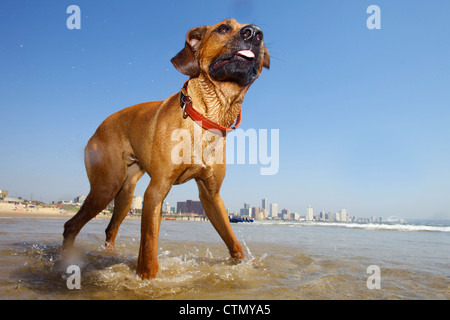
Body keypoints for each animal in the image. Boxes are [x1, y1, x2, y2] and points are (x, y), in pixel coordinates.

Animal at [62, 19, 268, 280]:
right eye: (223, 28)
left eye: (260, 34)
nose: (255, 33)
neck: (205, 117)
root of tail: (98, 128)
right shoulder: (156, 191)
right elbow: (149, 251)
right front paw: (147, 280)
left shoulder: (211, 196)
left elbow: (232, 241)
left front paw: (243, 264)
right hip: (106, 186)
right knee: (71, 226)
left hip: (126, 194)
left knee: (110, 229)